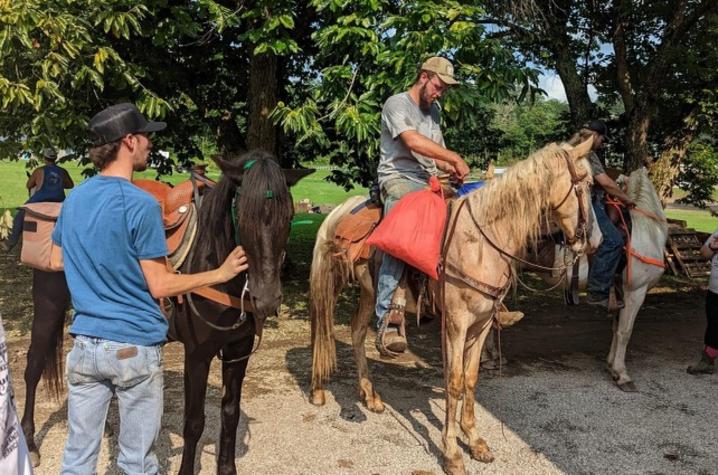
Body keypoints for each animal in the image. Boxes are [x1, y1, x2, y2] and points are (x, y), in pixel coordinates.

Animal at [310, 138, 596, 472]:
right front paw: (451, 452)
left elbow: (470, 379)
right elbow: (455, 381)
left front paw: (474, 440)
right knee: (321, 328)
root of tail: (339, 210)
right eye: (587, 183)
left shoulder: (481, 324)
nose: (592, 241)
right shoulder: (456, 323)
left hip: (369, 292)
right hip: (329, 283)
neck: (480, 242)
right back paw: (317, 390)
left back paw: (370, 395)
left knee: (356, 332)